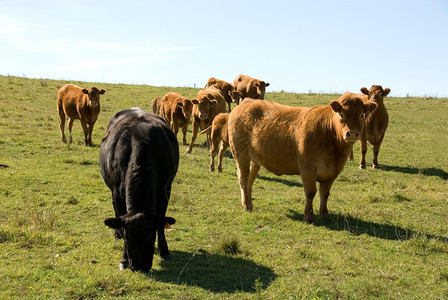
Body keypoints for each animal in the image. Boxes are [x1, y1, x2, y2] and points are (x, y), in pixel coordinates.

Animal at [99, 108, 178, 274]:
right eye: (129, 237)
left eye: (151, 237)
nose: (140, 267)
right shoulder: (117, 193)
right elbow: (121, 218)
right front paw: (123, 260)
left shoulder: (165, 190)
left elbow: (161, 223)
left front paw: (164, 251)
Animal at [228, 94, 378, 223]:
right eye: (341, 115)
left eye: (362, 115)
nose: (352, 133)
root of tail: (248, 101)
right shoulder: (307, 167)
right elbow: (311, 192)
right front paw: (308, 216)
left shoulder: (333, 171)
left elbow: (325, 193)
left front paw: (324, 214)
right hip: (241, 153)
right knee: (243, 178)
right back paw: (247, 205)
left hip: (255, 158)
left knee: (250, 179)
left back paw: (248, 203)